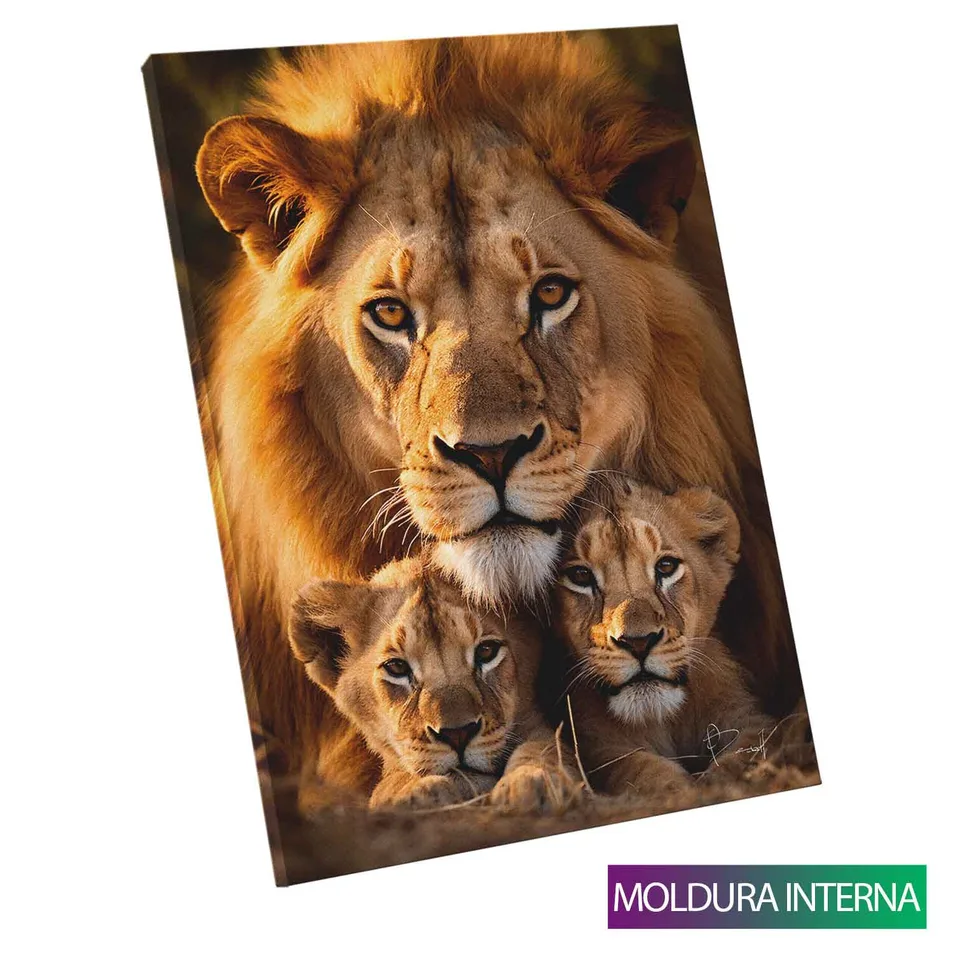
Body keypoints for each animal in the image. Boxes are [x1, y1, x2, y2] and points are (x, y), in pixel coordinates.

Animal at [289, 556, 581, 811]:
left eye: (486, 651)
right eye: (397, 667)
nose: (458, 734)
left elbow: (546, 747)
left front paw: (534, 781)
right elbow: (390, 781)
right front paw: (415, 792)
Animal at [553, 480, 783, 795]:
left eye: (666, 567)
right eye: (580, 575)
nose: (638, 642)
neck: (662, 719)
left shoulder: (745, 717)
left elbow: (747, 754)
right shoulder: (599, 745)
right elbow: (639, 769)